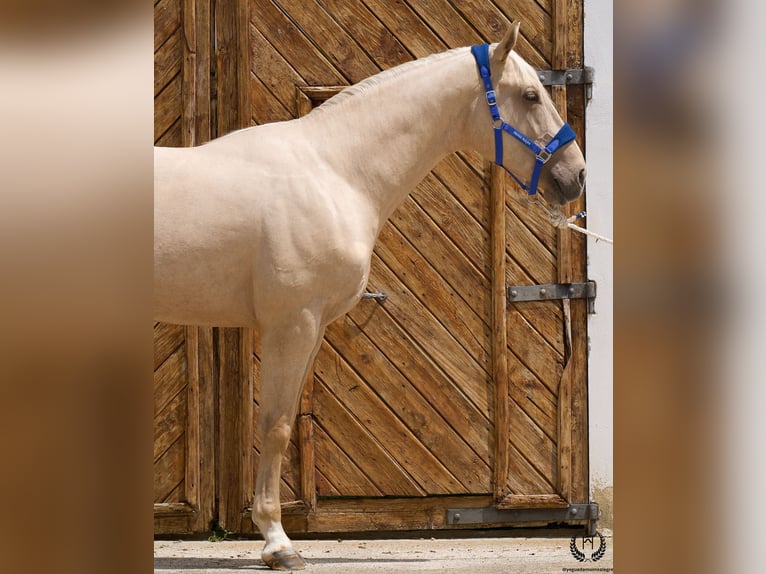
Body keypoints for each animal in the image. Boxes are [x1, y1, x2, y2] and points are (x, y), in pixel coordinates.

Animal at [154, 22, 586, 570]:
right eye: (530, 95)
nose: (576, 175)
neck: (333, 172)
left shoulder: (311, 327)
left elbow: (284, 420)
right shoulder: (292, 323)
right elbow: (275, 425)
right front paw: (278, 543)